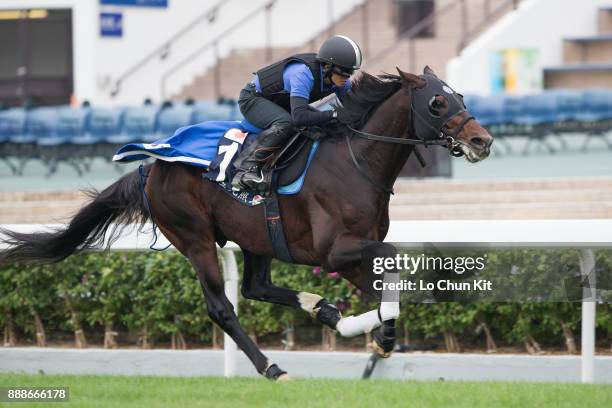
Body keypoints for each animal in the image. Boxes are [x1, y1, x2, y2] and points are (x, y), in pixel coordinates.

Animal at [0, 66, 492, 380]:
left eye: (462, 97)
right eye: (437, 101)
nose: (482, 140)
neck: (356, 160)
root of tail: (150, 167)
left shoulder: (352, 251)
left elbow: (386, 287)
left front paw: (370, 331)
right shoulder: (337, 249)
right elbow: (390, 269)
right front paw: (378, 334)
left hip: (256, 235)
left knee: (257, 286)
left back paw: (323, 309)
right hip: (195, 237)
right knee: (222, 307)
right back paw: (272, 367)